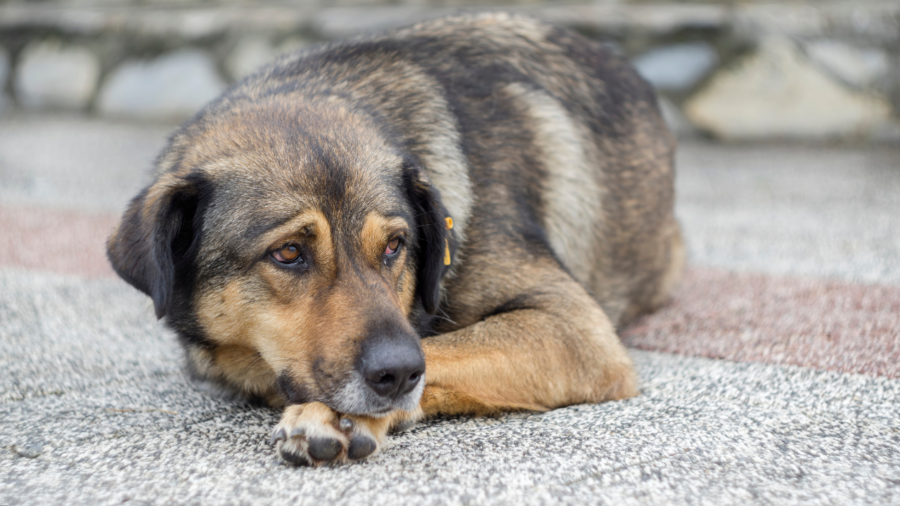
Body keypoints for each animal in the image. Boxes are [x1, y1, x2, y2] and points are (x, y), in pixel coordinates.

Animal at [105, 13, 684, 466]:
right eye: (288, 253)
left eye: (393, 247)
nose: (400, 372)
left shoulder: (575, 326)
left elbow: (442, 348)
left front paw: (337, 417)